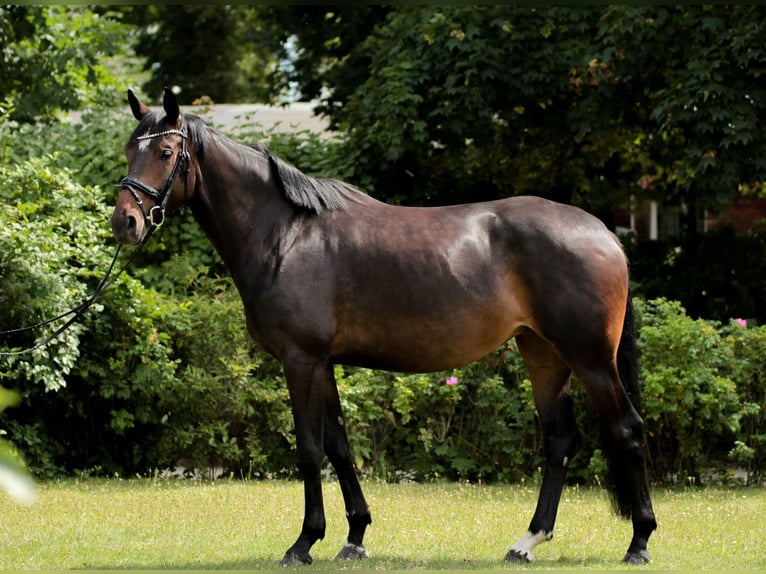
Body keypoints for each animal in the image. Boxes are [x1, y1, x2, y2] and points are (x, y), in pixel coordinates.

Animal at [112, 89, 660, 568]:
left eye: (165, 152)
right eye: (129, 149)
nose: (125, 223)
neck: (286, 234)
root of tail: (603, 232)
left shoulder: (301, 359)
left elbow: (309, 449)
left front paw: (303, 543)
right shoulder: (323, 363)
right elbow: (338, 446)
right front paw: (353, 536)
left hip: (590, 359)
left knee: (627, 429)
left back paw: (639, 542)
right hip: (543, 353)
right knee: (559, 439)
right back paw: (527, 542)